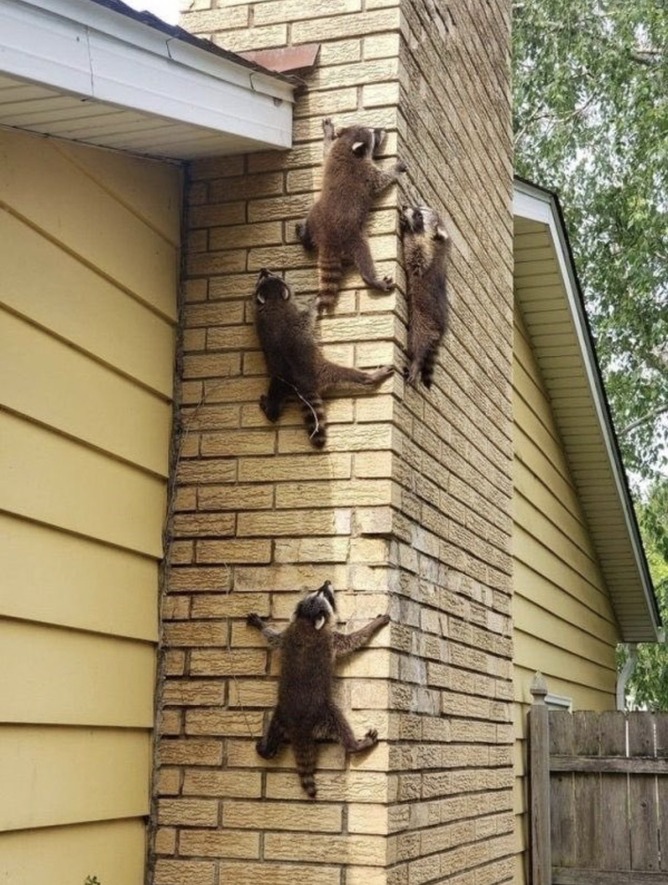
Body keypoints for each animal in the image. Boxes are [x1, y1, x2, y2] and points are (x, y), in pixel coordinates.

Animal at [247, 581, 390, 798]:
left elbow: (273, 638)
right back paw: (356, 745)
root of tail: (299, 728)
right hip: (324, 713)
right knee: (340, 724)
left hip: (280, 715)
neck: (306, 621)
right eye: (325, 596)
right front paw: (373, 626)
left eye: (320, 592)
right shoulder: (331, 639)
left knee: (273, 729)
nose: (327, 582)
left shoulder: (287, 634)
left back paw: (267, 749)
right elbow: (354, 639)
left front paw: (262, 626)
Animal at [253, 268, 393, 447]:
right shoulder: (296, 317)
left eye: (268, 275)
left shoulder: (260, 318)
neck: (273, 301)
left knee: (275, 399)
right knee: (346, 375)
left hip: (279, 381)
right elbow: (309, 314)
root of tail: (303, 383)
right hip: (321, 370)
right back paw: (370, 376)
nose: (263, 269)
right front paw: (316, 302)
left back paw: (271, 410)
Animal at [297, 117, 408, 313]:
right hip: (351, 236)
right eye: (374, 134)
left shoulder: (332, 156)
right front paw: (395, 168)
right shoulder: (365, 172)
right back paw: (372, 279)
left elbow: (325, 151)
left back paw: (304, 235)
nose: (383, 129)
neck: (348, 147)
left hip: (315, 215)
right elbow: (381, 180)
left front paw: (328, 134)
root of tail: (327, 239)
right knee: (363, 255)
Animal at [400, 204, 451, 388]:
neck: (439, 244)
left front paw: (407, 233)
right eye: (418, 207)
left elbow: (412, 254)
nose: (405, 206)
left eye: (419, 215)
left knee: (420, 341)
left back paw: (417, 360)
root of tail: (441, 329)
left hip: (426, 320)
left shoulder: (426, 257)